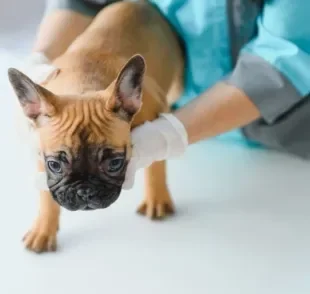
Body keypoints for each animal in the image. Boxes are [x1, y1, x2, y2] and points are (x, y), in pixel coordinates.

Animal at [7, 0, 183, 253]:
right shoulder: (41, 155)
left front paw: (156, 198)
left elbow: (156, 165)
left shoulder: (157, 114)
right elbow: (46, 195)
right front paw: (44, 228)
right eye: (55, 165)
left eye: (115, 163)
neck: (84, 84)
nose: (85, 191)